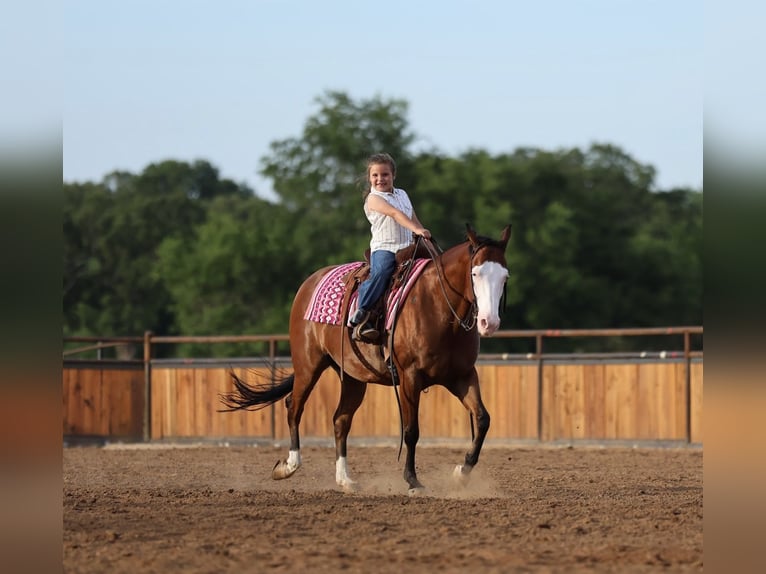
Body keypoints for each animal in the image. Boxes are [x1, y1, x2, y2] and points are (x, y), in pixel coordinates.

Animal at [220, 224, 512, 493]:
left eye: (505, 276)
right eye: (475, 273)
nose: (489, 323)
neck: (437, 305)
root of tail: (309, 283)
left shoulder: (462, 375)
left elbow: (483, 419)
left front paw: (461, 473)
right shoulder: (409, 376)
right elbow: (411, 430)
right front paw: (413, 480)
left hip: (353, 377)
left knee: (340, 420)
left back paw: (345, 479)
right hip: (308, 365)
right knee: (294, 406)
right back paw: (289, 466)